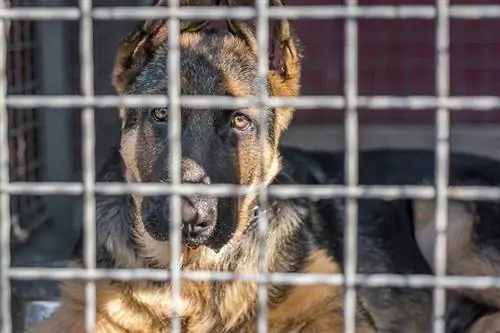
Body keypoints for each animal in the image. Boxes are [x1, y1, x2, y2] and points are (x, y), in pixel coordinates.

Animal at [28, 0, 500, 330]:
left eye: (240, 121)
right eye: (160, 115)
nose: (188, 214)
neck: (196, 272)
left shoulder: (334, 305)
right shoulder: (78, 309)